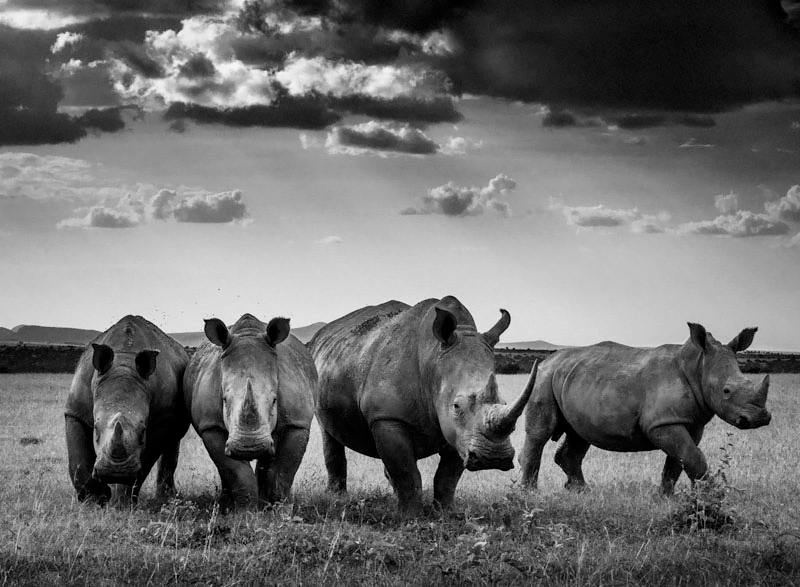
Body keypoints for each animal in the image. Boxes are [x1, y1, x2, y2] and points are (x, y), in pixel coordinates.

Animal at [65, 314, 191, 504]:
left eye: (143, 430)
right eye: (96, 428)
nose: (115, 472)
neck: (124, 363)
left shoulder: (162, 419)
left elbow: (145, 460)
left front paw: (121, 502)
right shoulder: (75, 410)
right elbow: (77, 460)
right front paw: (93, 499)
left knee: (172, 440)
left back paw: (167, 499)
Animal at [184, 312, 316, 510]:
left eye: (274, 400)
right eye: (225, 400)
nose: (249, 448)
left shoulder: (297, 423)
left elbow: (282, 472)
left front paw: (282, 511)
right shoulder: (211, 426)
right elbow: (236, 472)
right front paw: (245, 511)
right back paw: (228, 504)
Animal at [306, 298, 536, 516]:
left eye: (504, 403)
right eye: (456, 406)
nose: (494, 457)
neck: (434, 360)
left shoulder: (458, 432)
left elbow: (446, 477)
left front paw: (446, 513)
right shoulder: (387, 417)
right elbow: (407, 472)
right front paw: (409, 517)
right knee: (329, 434)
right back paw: (337, 497)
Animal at [520, 324, 772, 494]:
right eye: (726, 391)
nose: (760, 418)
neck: (697, 367)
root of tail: (547, 360)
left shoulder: (688, 421)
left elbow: (680, 459)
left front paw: (666, 498)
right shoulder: (661, 422)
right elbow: (691, 456)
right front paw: (709, 499)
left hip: (574, 380)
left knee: (579, 434)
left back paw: (582, 491)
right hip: (543, 378)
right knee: (541, 432)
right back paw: (530, 493)